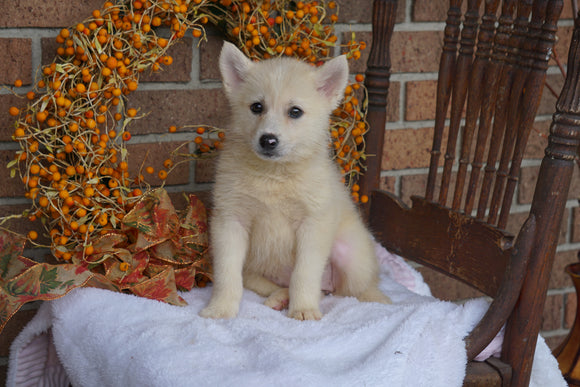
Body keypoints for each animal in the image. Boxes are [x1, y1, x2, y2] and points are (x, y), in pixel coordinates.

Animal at [199, 41, 390, 322]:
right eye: (257, 107)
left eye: (295, 112)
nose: (268, 140)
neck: (274, 175)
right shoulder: (230, 221)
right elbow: (227, 274)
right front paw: (221, 308)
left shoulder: (313, 224)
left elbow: (304, 274)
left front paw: (303, 310)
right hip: (253, 269)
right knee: (279, 285)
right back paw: (279, 298)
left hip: (351, 255)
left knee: (354, 290)